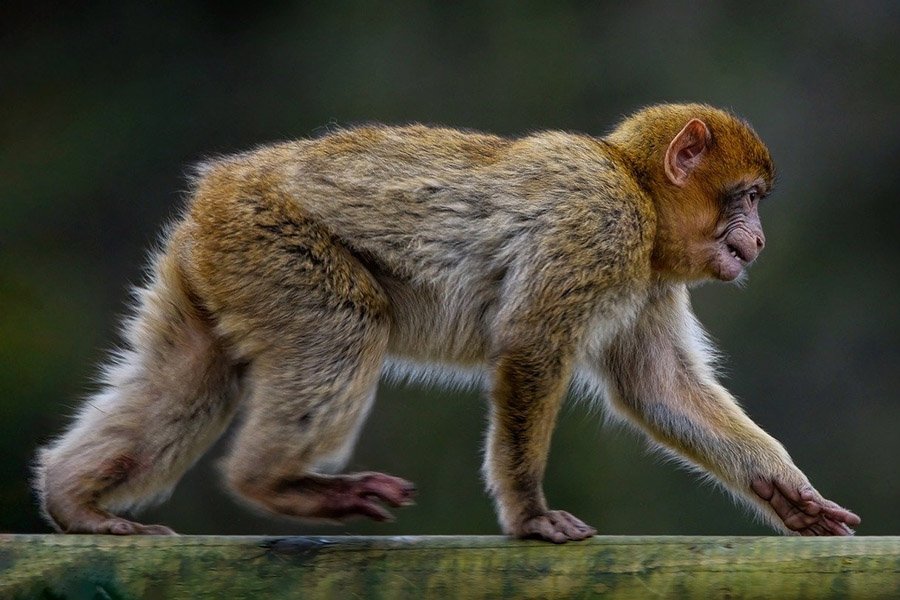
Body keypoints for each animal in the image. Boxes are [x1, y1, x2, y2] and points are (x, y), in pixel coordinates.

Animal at [35, 104, 860, 544]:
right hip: (267, 238)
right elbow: (530, 346)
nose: (759, 240)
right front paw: (528, 514)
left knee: (187, 376)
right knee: (345, 325)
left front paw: (785, 492)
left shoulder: (650, 278)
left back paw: (77, 502)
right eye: (745, 199)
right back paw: (272, 481)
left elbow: (657, 387)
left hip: (213, 260)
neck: (638, 191)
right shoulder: (599, 224)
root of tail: (221, 184)